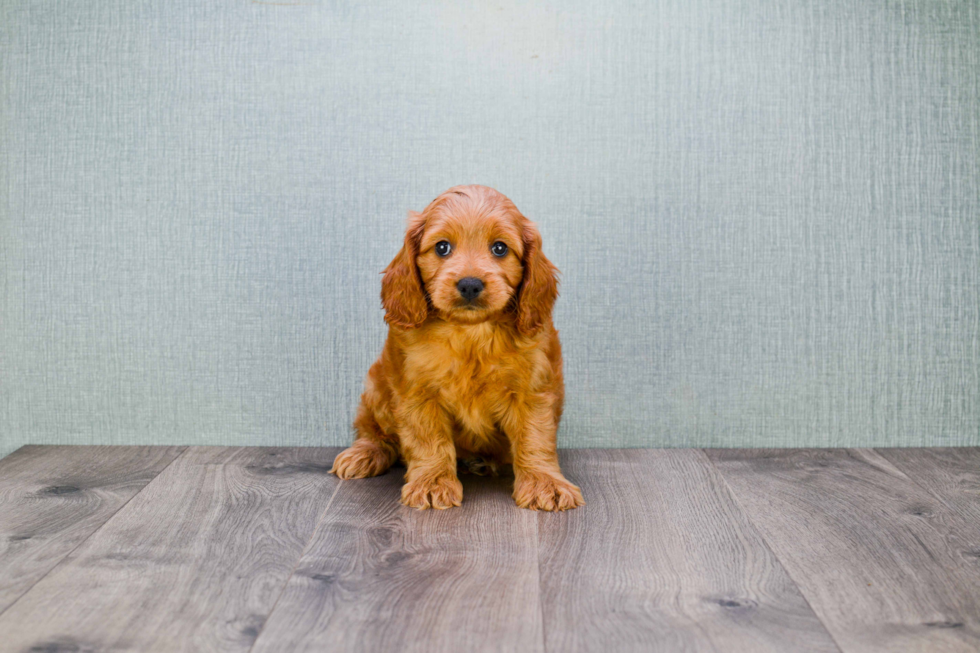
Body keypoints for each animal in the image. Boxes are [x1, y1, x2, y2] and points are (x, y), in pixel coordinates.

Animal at [334, 182, 584, 510]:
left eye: (500, 248)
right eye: (442, 247)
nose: (469, 284)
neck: (471, 334)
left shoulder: (532, 390)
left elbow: (535, 437)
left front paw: (545, 483)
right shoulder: (417, 391)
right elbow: (428, 440)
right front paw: (432, 482)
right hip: (377, 387)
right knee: (373, 430)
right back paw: (364, 453)